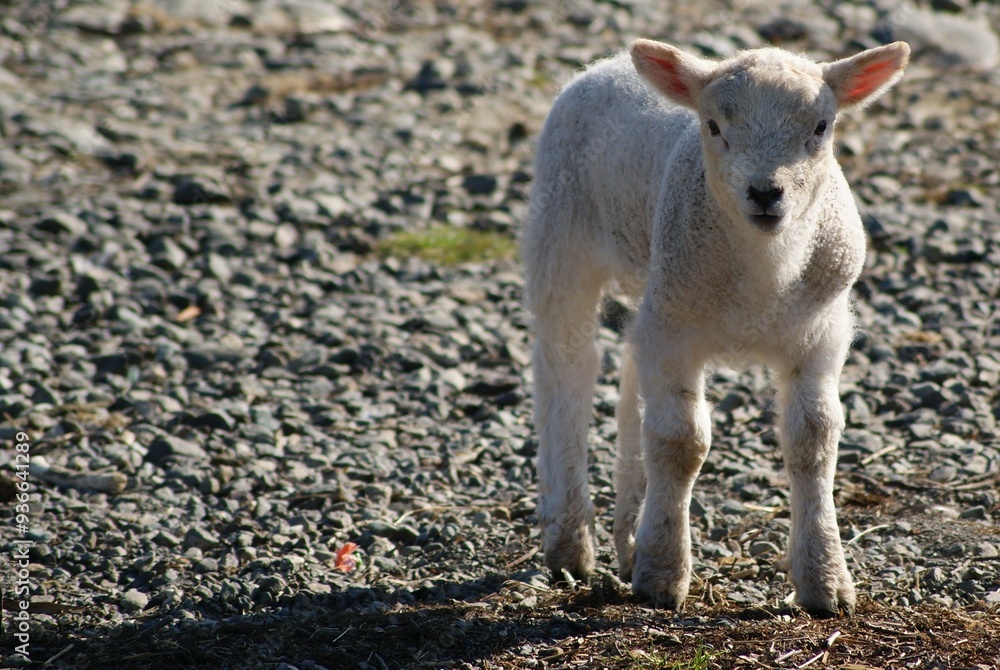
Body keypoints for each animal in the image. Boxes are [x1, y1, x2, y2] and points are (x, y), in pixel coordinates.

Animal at [521, 38, 910, 616]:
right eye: (712, 125)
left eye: (821, 127)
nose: (766, 193)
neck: (765, 277)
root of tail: (605, 64)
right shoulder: (676, 331)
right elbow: (681, 441)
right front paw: (663, 576)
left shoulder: (820, 332)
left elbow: (813, 439)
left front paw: (826, 582)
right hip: (562, 230)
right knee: (566, 367)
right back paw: (569, 542)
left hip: (655, 288)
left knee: (631, 367)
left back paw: (627, 537)